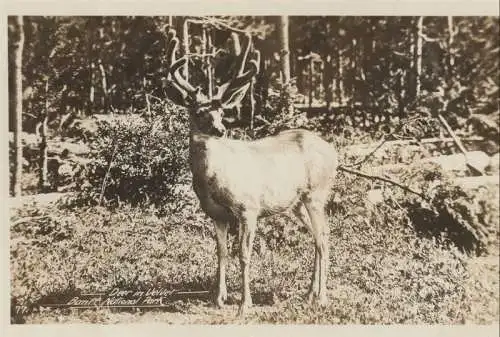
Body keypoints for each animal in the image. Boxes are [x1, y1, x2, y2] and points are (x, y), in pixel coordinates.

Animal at [162, 28, 338, 316]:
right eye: (198, 112)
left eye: (222, 111)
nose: (220, 129)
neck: (212, 179)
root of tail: (334, 151)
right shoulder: (216, 214)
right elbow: (221, 252)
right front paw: (219, 298)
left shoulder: (249, 208)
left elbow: (244, 254)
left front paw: (245, 303)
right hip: (296, 203)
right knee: (318, 237)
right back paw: (309, 293)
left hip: (317, 192)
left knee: (323, 237)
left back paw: (322, 297)